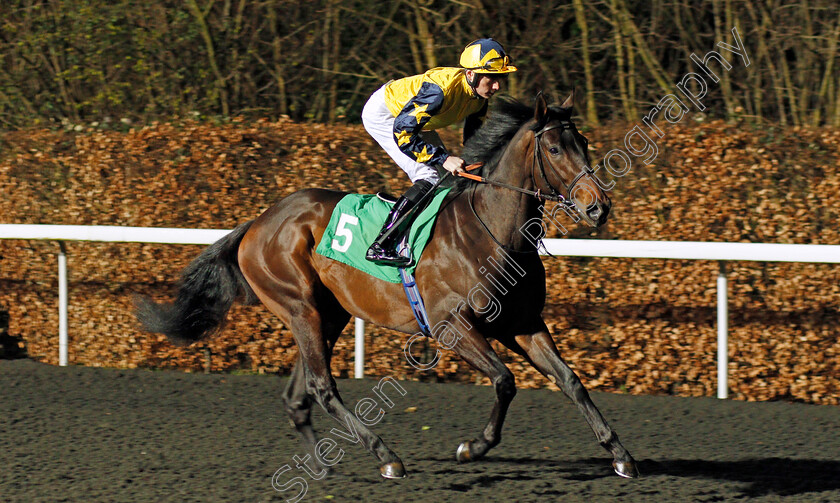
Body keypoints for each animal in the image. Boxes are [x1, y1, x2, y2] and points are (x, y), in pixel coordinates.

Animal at [135, 92, 640, 482]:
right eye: (553, 148)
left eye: (584, 142)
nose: (598, 207)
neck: (493, 233)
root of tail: (258, 222)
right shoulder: (452, 327)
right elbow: (504, 381)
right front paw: (472, 447)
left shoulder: (524, 323)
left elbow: (571, 381)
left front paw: (621, 456)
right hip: (299, 306)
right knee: (322, 386)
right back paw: (387, 457)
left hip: (328, 312)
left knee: (300, 394)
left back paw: (324, 466)